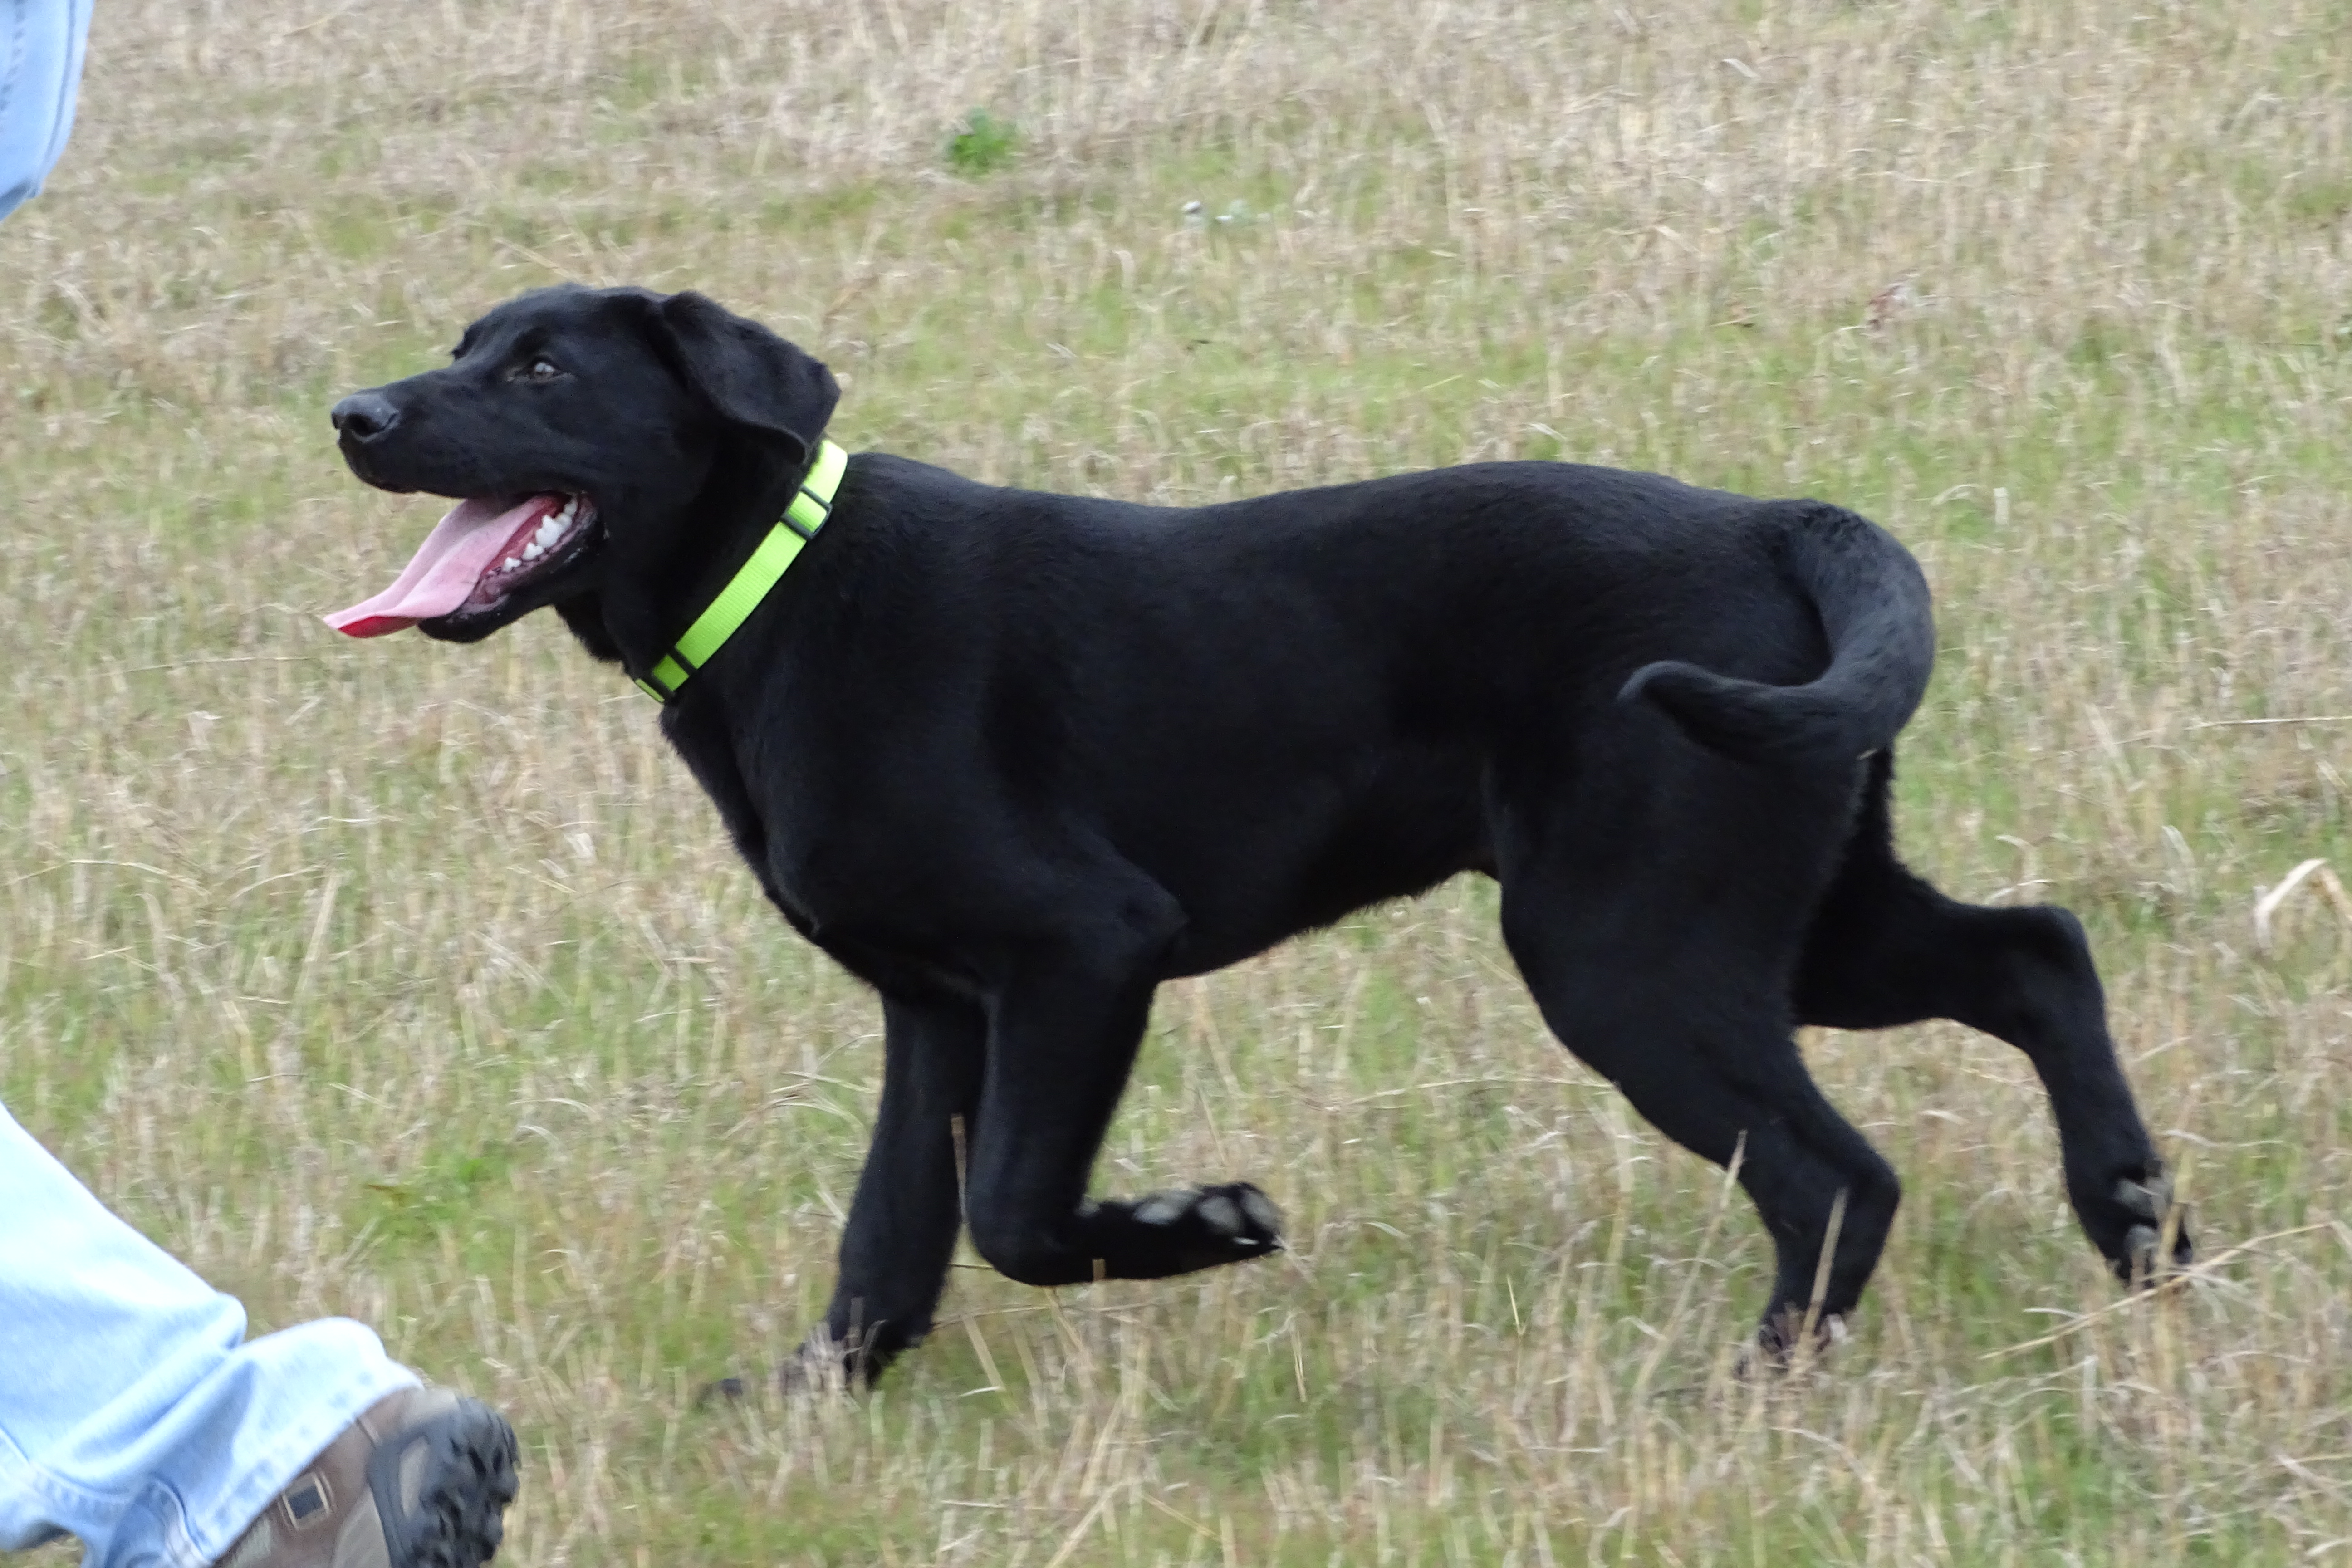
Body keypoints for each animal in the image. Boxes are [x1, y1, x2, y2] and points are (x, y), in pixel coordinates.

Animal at [326, 284, 2189, 1382]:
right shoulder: (934, 1003)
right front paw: (817, 1394)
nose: (354, 414)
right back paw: (2134, 1224)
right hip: (1788, 912)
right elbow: (891, 1231)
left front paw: (1203, 1228)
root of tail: (1774, 524)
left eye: (544, 366)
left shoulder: (1084, 948)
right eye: (465, 341)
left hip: (1625, 949)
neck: (780, 598)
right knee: (2037, 954)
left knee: (1837, 1171)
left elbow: (1014, 1211)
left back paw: (1764, 1380)